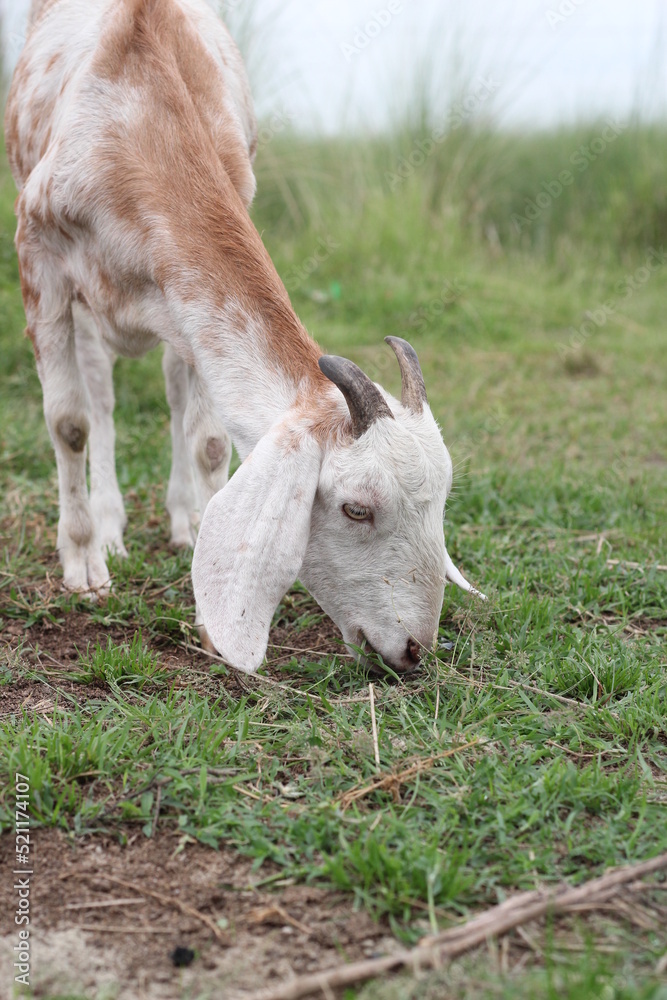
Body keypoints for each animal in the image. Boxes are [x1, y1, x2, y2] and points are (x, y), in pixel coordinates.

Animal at [5, 0, 484, 675]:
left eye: (440, 500)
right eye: (356, 508)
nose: (414, 649)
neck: (138, 120)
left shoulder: (184, 296)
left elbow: (209, 440)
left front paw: (208, 610)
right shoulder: (39, 252)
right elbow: (69, 421)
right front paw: (83, 565)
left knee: (174, 393)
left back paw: (184, 521)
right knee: (99, 397)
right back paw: (110, 527)